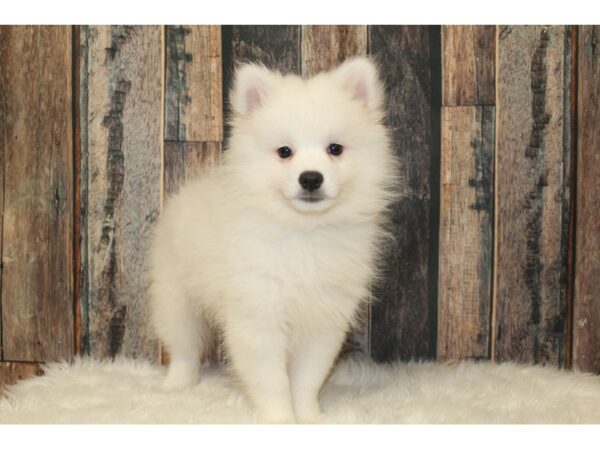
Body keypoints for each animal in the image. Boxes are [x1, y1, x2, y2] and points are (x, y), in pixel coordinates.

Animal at [151, 57, 398, 422]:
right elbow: (272, 382)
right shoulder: (258, 315)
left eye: (335, 149)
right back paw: (176, 386)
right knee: (183, 347)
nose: (310, 178)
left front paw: (309, 417)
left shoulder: (324, 320)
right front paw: (280, 419)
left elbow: (307, 379)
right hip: (175, 296)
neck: (303, 232)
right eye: (284, 152)